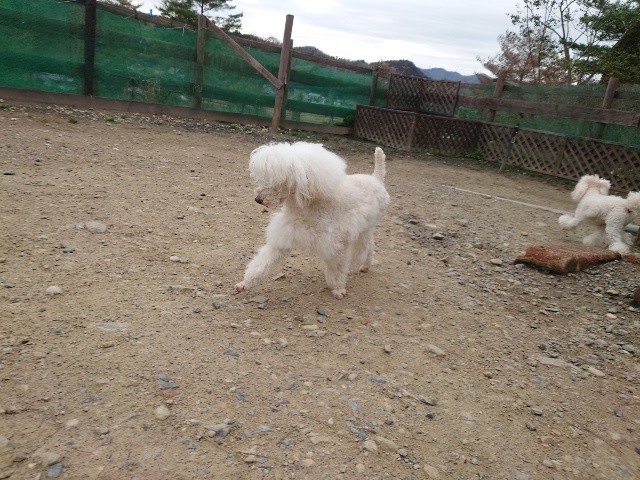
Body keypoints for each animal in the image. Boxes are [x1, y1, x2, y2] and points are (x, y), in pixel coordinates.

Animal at [235, 142, 390, 299]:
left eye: (280, 180)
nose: (258, 199)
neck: (307, 206)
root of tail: (376, 178)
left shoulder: (335, 245)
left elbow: (337, 270)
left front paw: (338, 289)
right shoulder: (283, 238)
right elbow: (262, 264)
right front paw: (244, 284)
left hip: (365, 229)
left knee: (365, 247)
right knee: (369, 247)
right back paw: (365, 266)